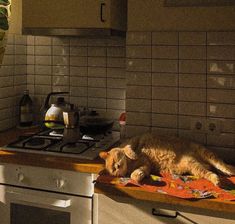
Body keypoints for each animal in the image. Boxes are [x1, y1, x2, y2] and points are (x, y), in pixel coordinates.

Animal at [99, 133, 235, 186]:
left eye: (114, 162)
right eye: (113, 171)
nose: (117, 168)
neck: (130, 164)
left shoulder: (133, 140)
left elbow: (128, 150)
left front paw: (132, 154)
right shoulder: (147, 166)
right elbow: (138, 173)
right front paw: (137, 176)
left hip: (206, 154)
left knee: (221, 164)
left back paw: (229, 170)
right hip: (195, 167)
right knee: (210, 172)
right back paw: (217, 180)